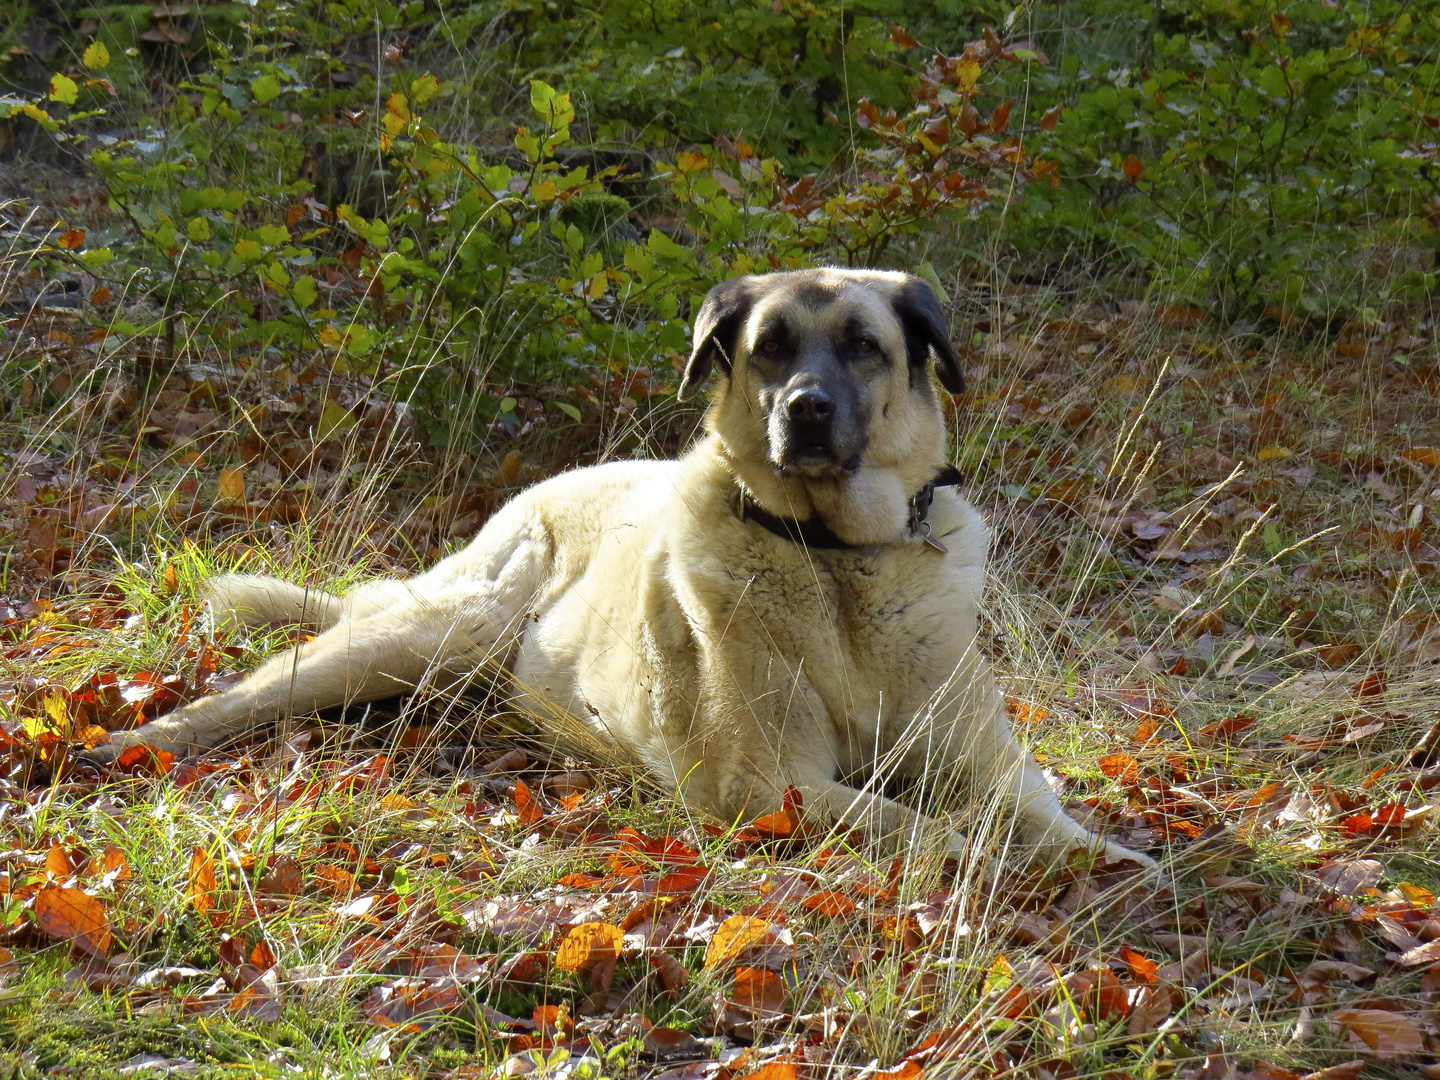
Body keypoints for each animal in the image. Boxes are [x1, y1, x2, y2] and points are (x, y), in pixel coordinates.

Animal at [81, 270, 1157, 869]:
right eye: (769, 349)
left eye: (865, 347)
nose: (805, 409)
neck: (841, 563)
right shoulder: (770, 783)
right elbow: (919, 829)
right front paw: (977, 860)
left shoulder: (987, 756)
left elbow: (1040, 813)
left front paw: (1110, 861)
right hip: (443, 629)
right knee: (240, 697)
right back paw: (124, 746)